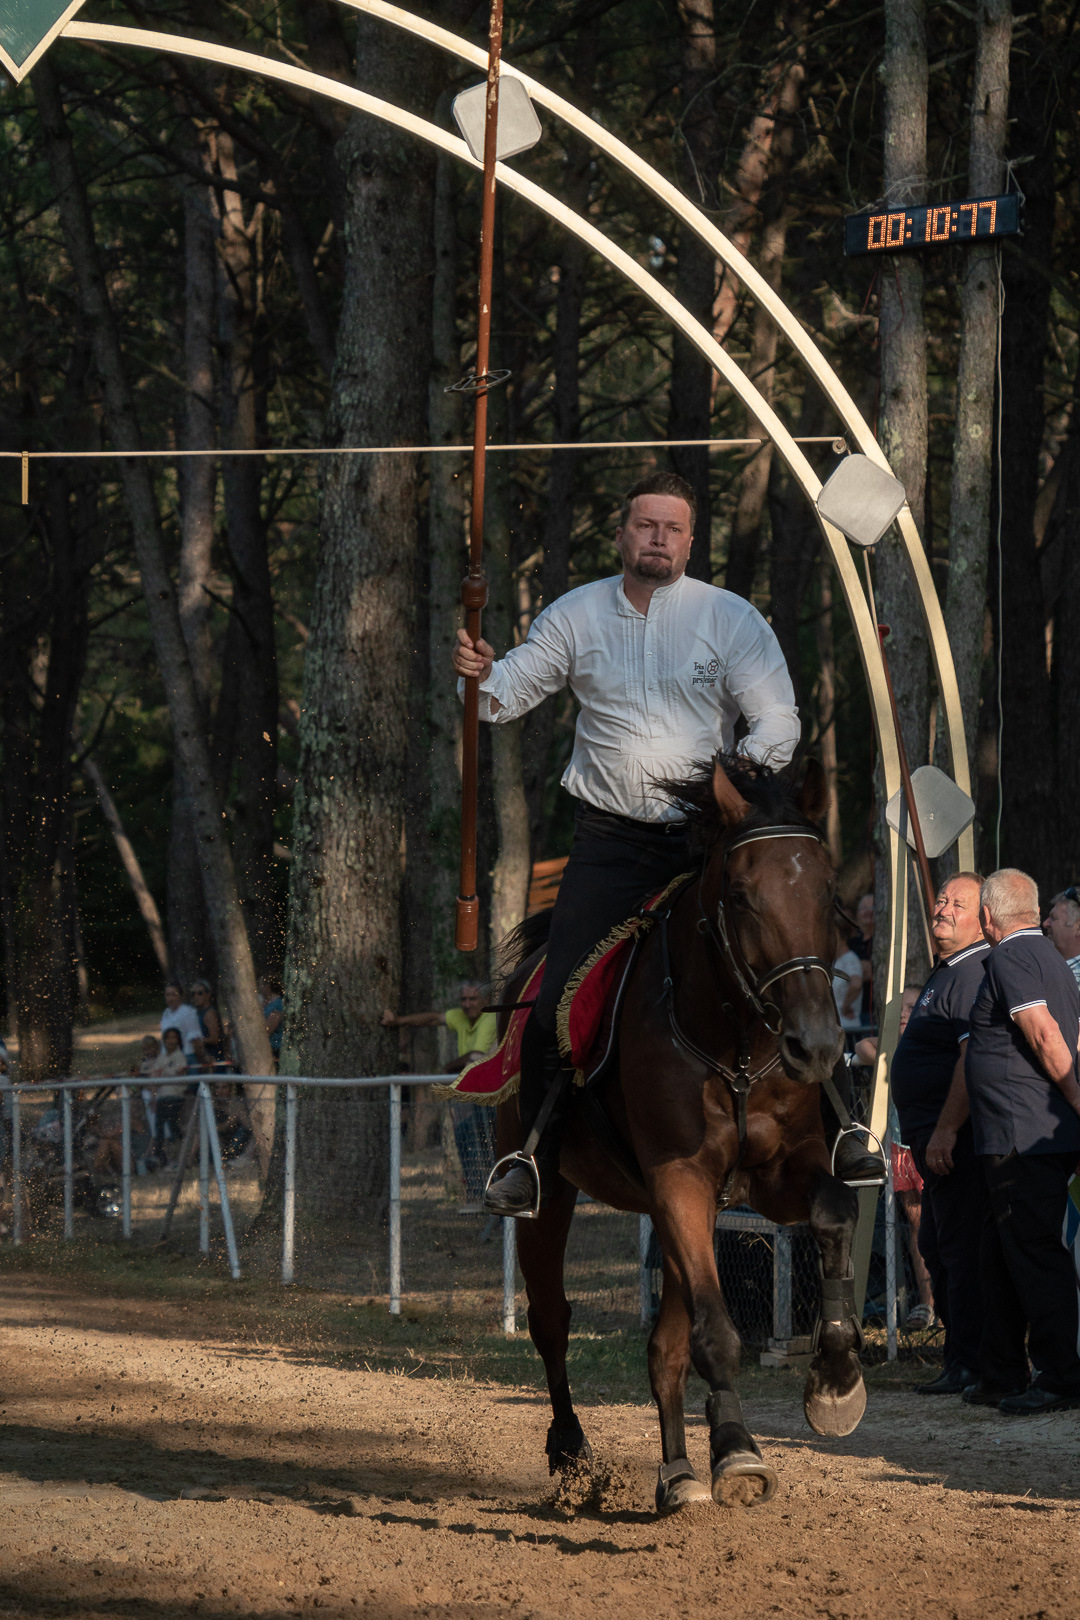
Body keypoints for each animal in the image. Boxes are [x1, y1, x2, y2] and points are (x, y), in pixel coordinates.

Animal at [495, 751, 861, 1509]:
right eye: (743, 896)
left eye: (825, 893)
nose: (815, 1044)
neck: (735, 1045)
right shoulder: (679, 1179)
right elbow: (715, 1332)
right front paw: (741, 1450)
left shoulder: (777, 1173)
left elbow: (836, 1209)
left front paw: (836, 1378)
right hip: (559, 1196)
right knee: (552, 1320)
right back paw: (571, 1450)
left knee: (663, 1348)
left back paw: (678, 1471)